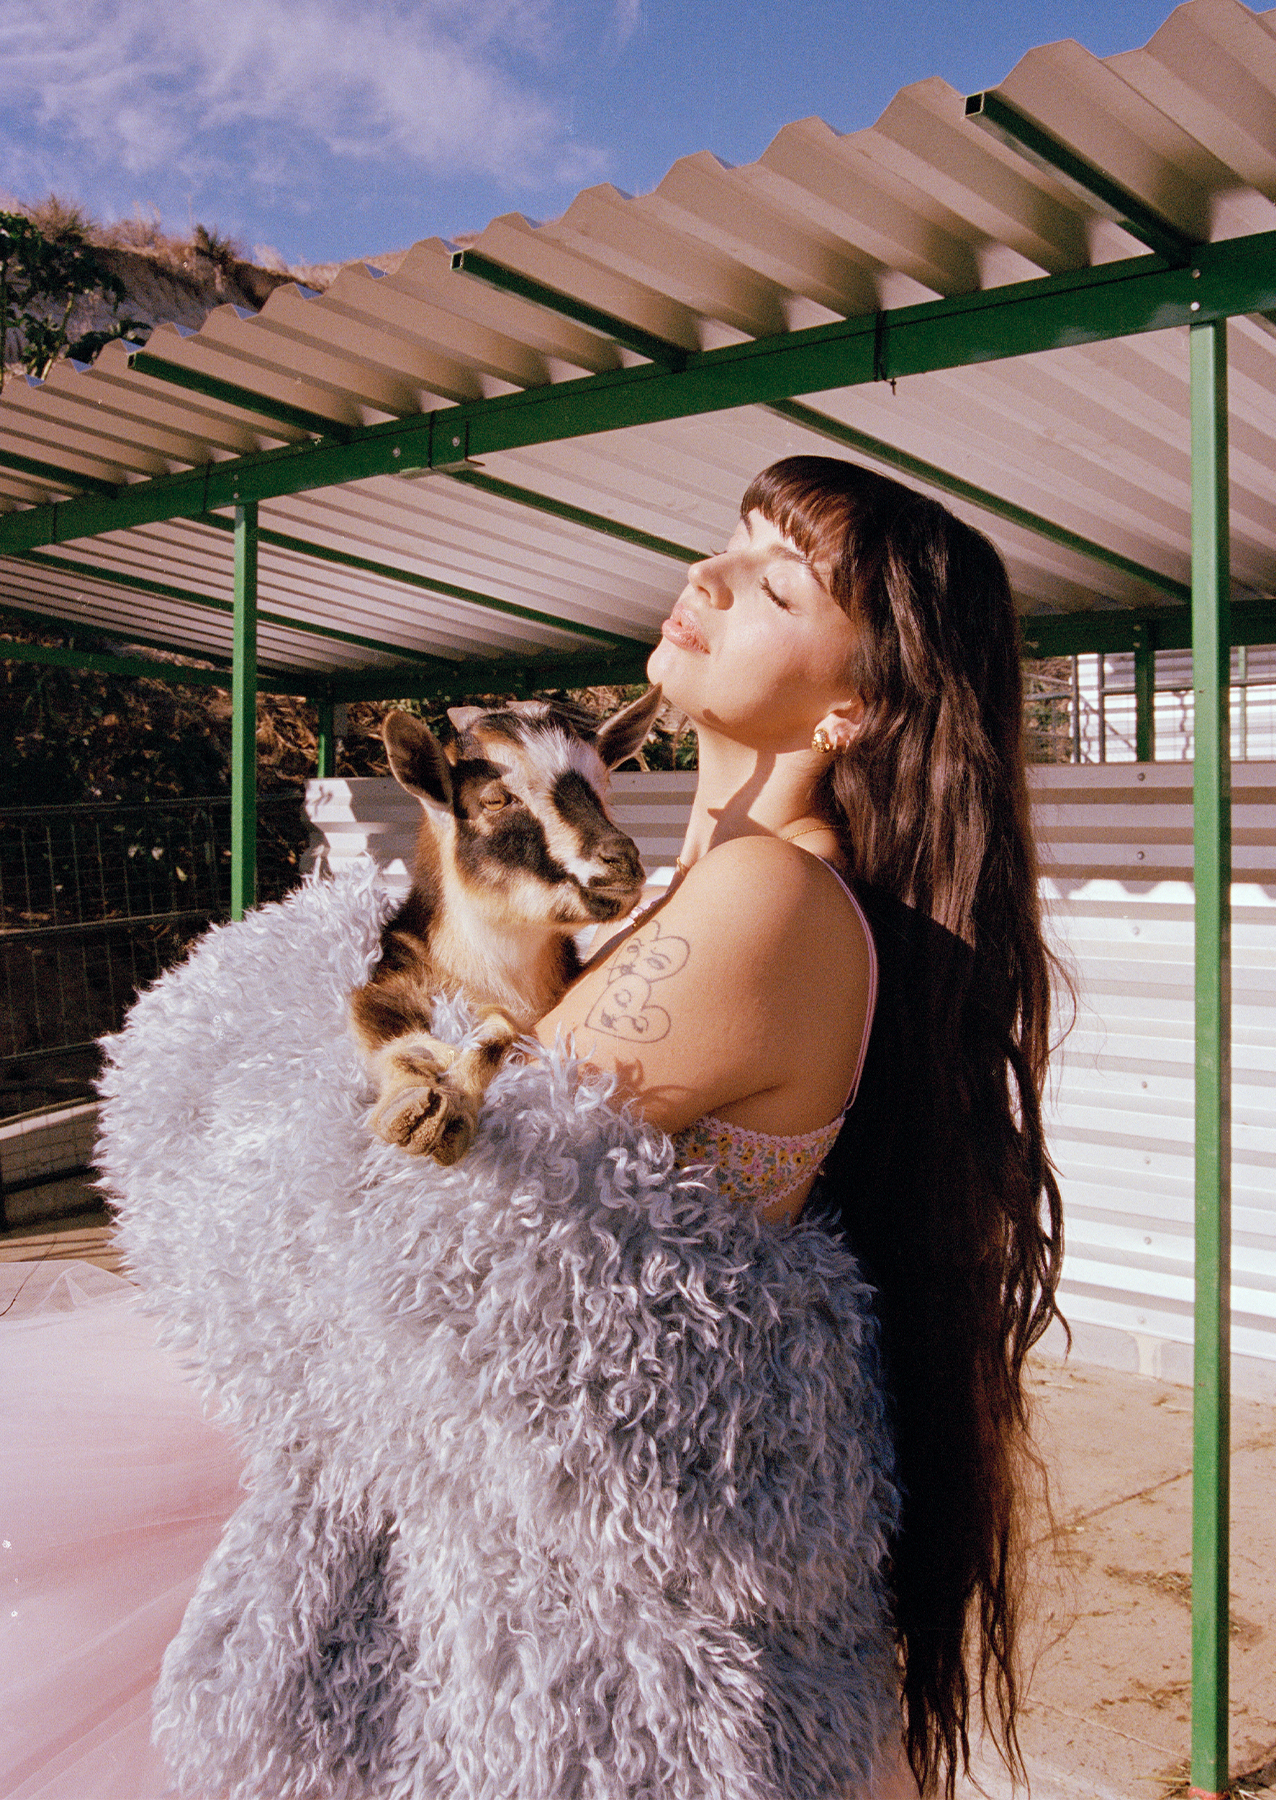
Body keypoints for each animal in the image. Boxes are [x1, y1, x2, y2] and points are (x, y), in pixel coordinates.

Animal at [352, 687, 662, 1166]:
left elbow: (503, 1032)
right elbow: (387, 1029)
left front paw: (456, 1100)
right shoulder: (394, 975)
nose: (621, 860)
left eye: (603, 786)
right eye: (496, 799)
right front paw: (412, 1106)